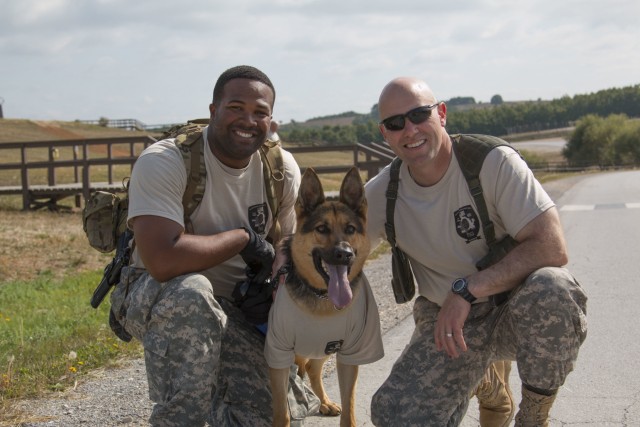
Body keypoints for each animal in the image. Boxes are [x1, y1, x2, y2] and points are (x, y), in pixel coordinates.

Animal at [264, 167, 380, 427]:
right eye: (322, 229)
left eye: (350, 229)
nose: (344, 254)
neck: (322, 298)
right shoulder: (278, 354)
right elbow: (282, 411)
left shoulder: (349, 355)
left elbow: (349, 408)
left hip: (324, 350)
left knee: (312, 370)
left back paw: (325, 402)